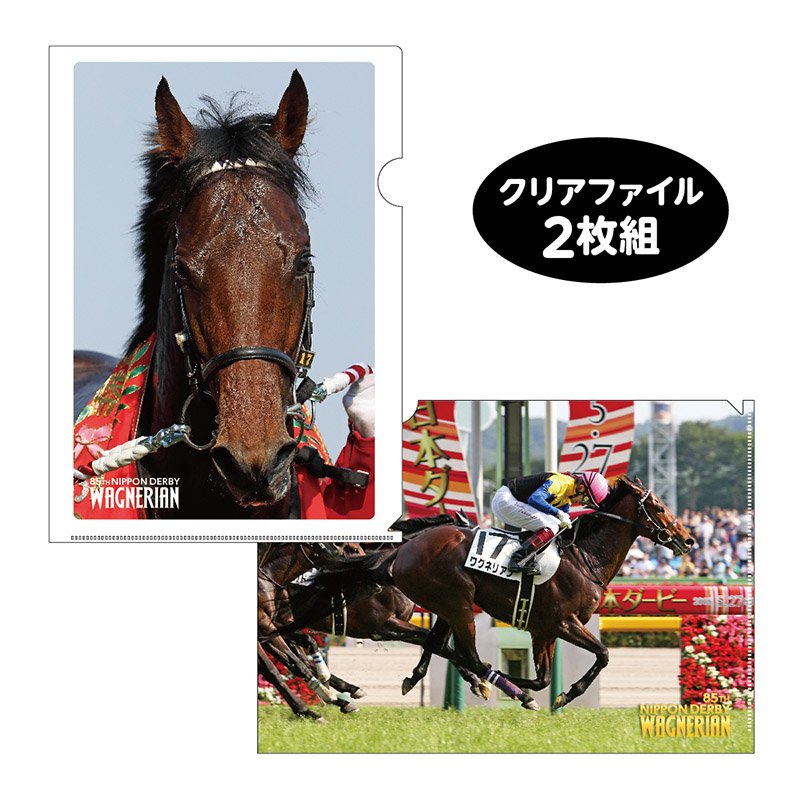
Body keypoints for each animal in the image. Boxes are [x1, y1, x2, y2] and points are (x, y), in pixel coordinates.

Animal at [280, 476, 695, 710]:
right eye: (659, 507)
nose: (688, 539)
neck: (583, 558)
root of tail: (403, 550)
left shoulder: (543, 629)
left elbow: (544, 677)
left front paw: (547, 693)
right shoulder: (564, 623)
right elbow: (604, 655)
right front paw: (561, 693)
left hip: (447, 605)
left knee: (443, 644)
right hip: (458, 603)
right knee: (468, 654)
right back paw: (500, 688)